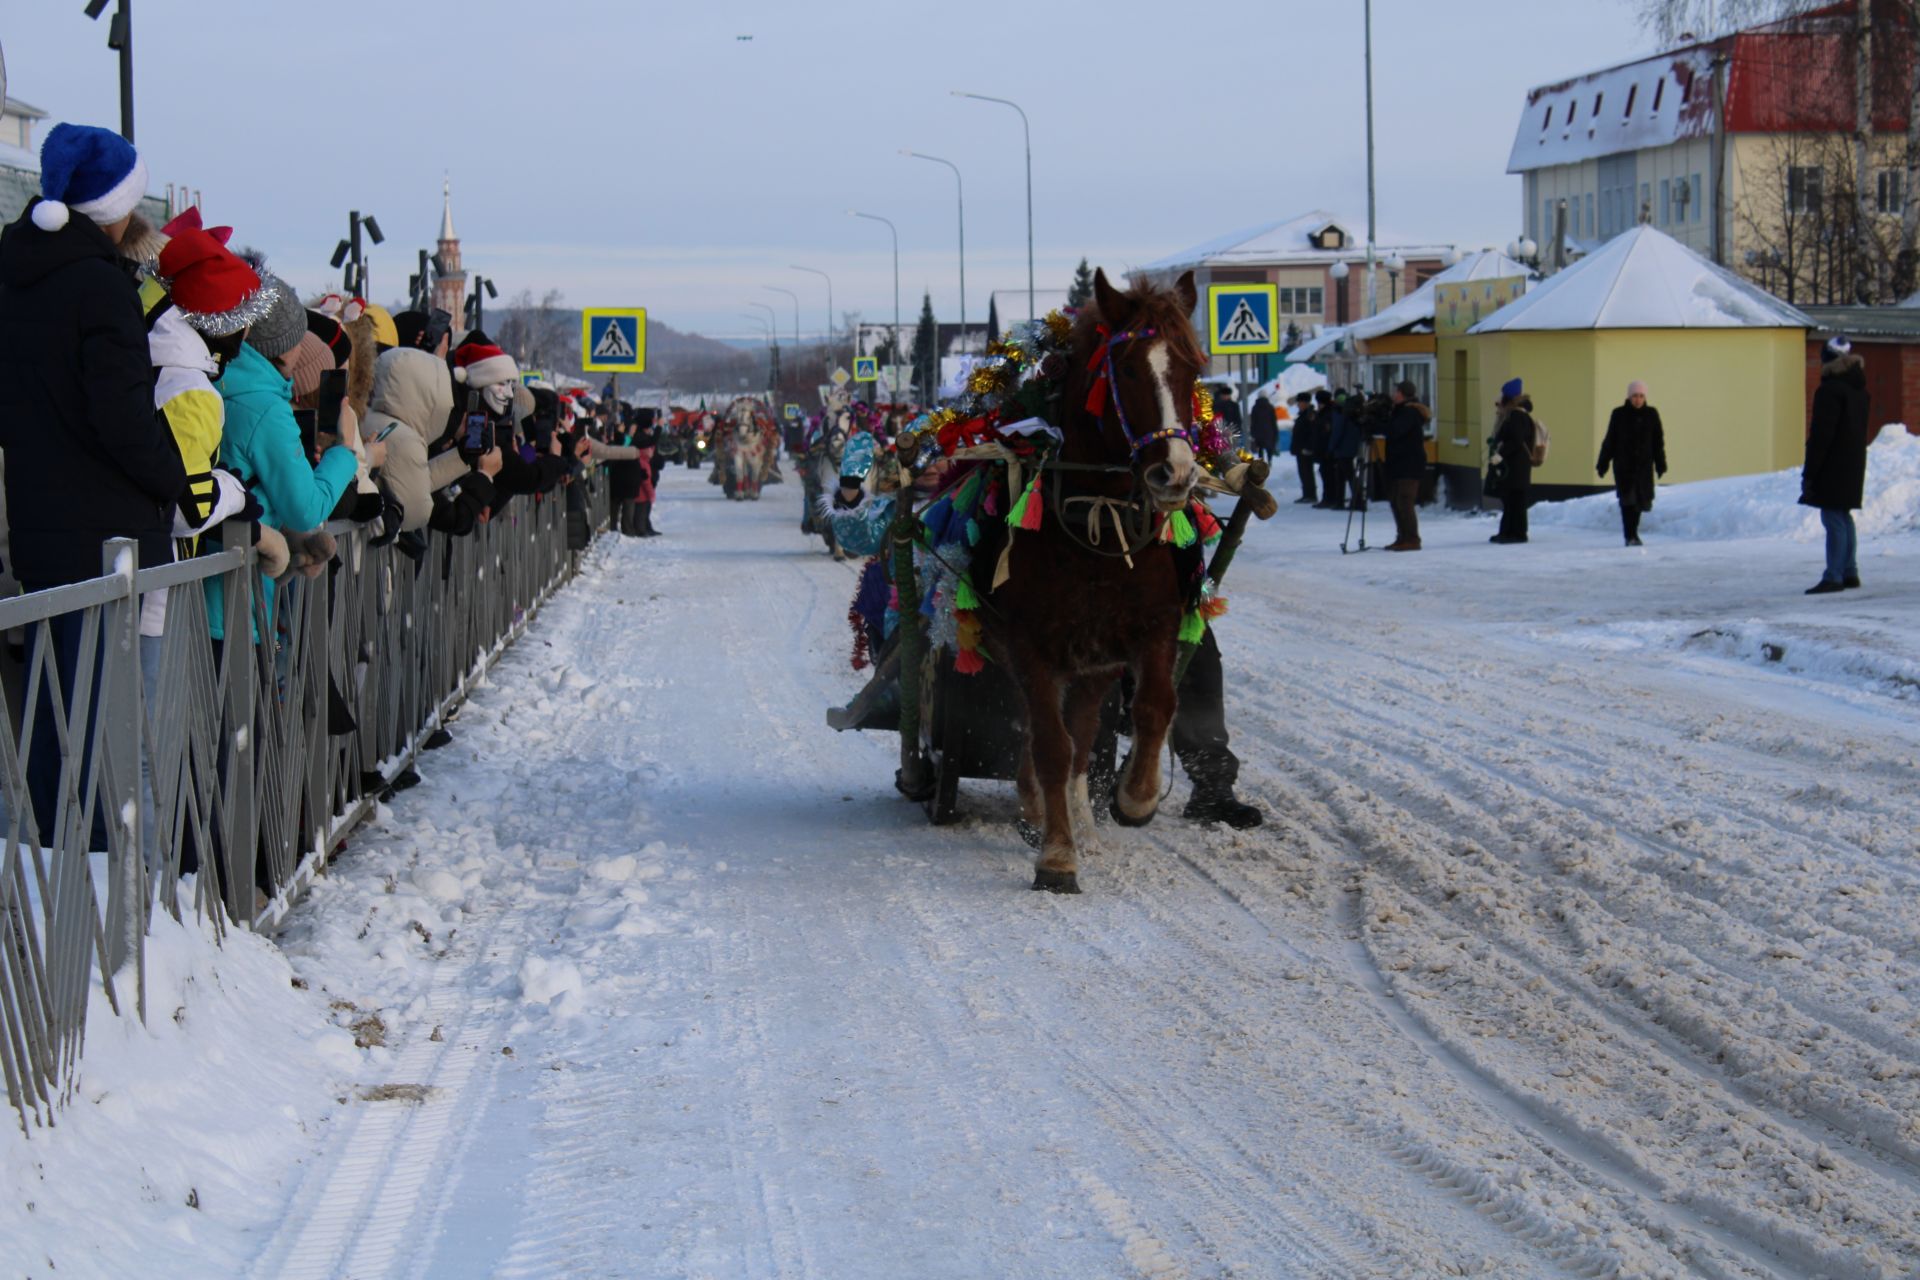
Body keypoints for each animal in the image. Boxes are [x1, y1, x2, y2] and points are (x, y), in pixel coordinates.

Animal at [990, 268, 1198, 890]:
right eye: (1126, 369)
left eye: (1193, 368)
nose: (1175, 473)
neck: (1097, 526)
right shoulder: (1028, 643)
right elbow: (1049, 745)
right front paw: (1057, 855)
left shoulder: (1151, 625)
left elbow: (1154, 705)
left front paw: (1136, 798)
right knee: (1049, 736)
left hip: (1093, 662)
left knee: (1083, 733)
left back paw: (1081, 819)